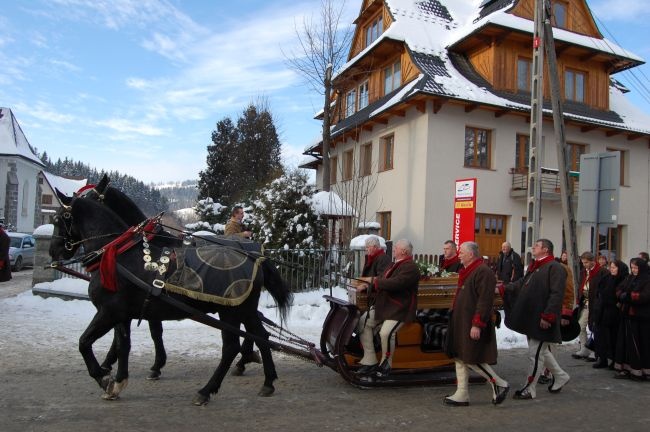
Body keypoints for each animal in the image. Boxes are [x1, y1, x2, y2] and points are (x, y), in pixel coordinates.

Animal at [50, 194, 292, 404]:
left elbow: (84, 343)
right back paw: (267, 381)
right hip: (245, 309)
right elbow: (123, 345)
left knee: (231, 347)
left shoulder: (109, 311)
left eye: (59, 219)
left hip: (231, 310)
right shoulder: (122, 314)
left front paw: (103, 377)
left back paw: (206, 390)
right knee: (261, 336)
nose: (54, 251)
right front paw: (118, 382)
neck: (118, 255)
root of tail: (254, 257)